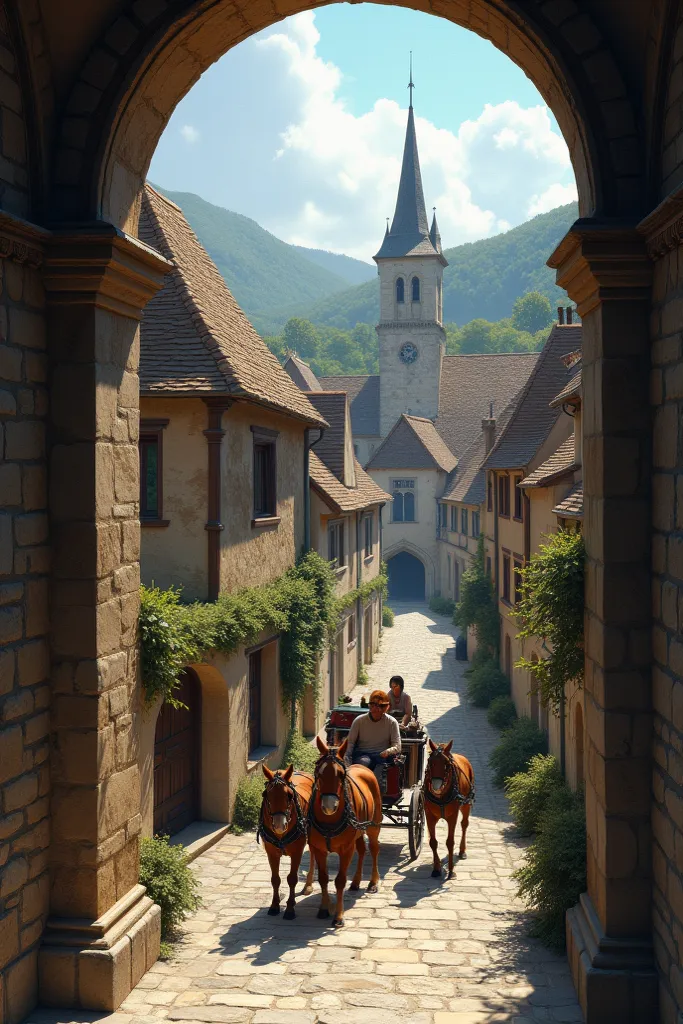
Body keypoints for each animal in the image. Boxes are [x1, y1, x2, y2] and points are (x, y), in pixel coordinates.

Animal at [260, 761, 317, 921]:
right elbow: (275, 879)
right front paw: (274, 905)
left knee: (313, 855)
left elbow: (292, 879)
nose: (279, 825)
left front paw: (290, 908)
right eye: (265, 794)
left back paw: (308, 885)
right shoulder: (271, 852)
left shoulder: (297, 852)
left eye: (290, 795)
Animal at [307, 737, 382, 929]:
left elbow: (340, 880)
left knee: (374, 849)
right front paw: (324, 909)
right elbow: (323, 878)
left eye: (341, 775)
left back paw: (373, 882)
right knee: (362, 850)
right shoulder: (318, 848)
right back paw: (356, 882)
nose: (328, 806)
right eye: (318, 773)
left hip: (373, 826)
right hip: (359, 829)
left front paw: (339, 916)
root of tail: (362, 767)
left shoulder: (346, 849)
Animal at [421, 741, 475, 876]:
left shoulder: (452, 816)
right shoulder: (429, 815)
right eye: (430, 761)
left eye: (447, 764)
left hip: (466, 804)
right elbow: (433, 842)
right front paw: (436, 868)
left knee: (464, 824)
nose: (436, 786)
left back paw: (462, 851)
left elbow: (450, 842)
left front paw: (451, 871)